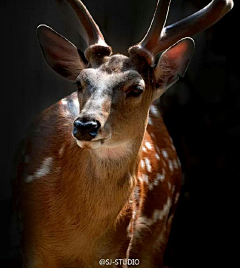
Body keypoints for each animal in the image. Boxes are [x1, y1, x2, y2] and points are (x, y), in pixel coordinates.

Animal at [15, 0, 233, 268]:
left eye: (137, 88)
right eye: (80, 81)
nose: (85, 125)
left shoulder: (119, 250)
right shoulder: (30, 245)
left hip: (159, 236)